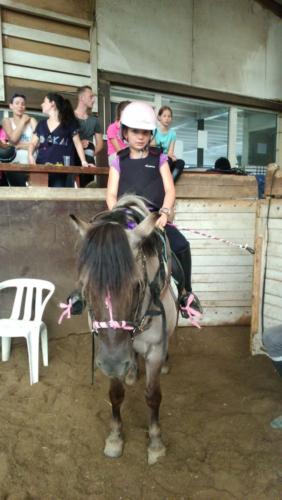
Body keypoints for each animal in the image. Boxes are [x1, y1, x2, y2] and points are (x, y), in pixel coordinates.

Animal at [70, 194, 177, 464]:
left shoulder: (154, 351)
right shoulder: (110, 352)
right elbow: (115, 396)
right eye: (85, 286)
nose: (114, 365)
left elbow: (153, 396)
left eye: (137, 285)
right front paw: (115, 438)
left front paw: (156, 444)